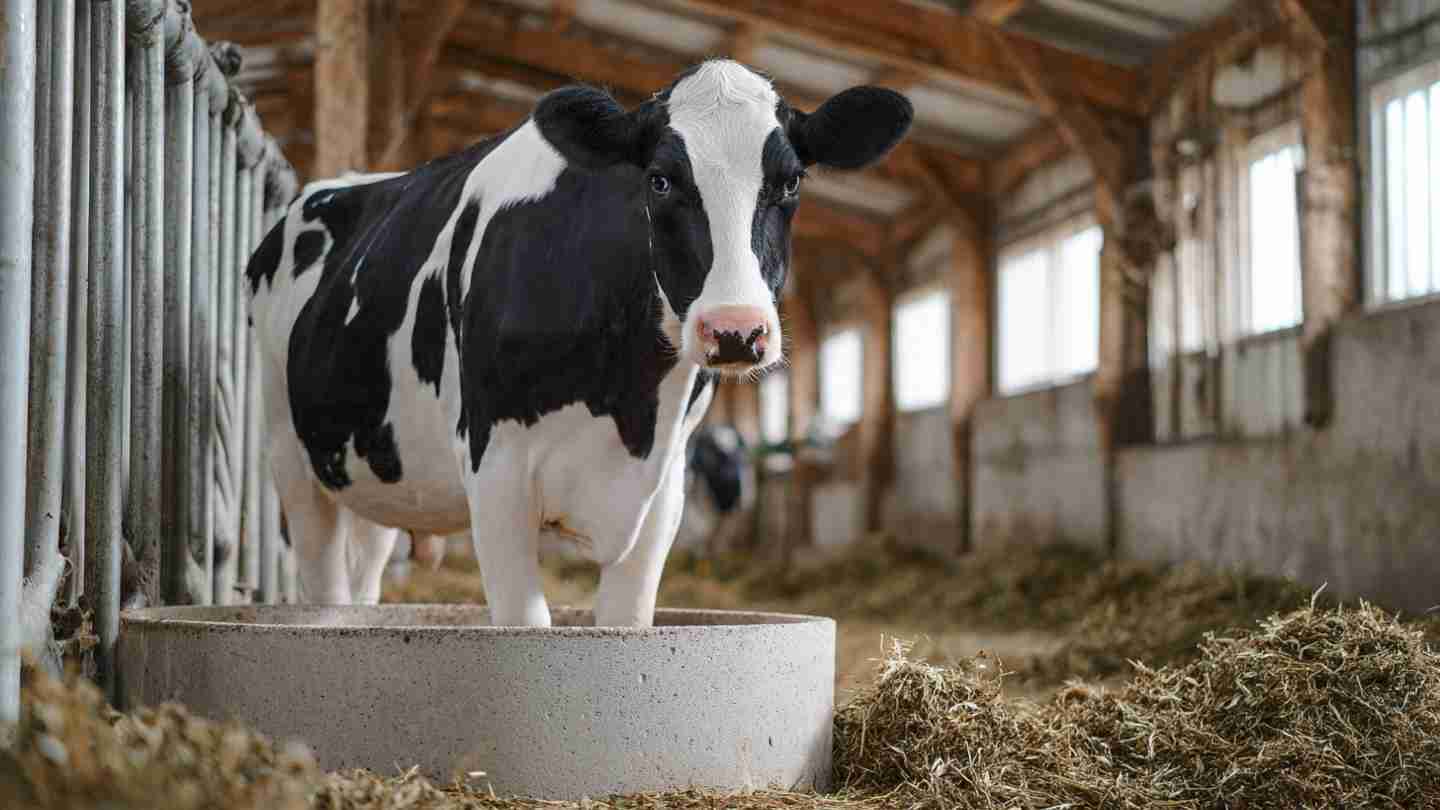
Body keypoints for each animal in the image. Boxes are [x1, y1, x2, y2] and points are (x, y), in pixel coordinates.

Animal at [245, 59, 912, 626]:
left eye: (791, 182)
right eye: (660, 180)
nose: (735, 330)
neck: (624, 401)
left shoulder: (661, 492)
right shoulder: (496, 473)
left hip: (377, 466)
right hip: (288, 452)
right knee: (324, 581)